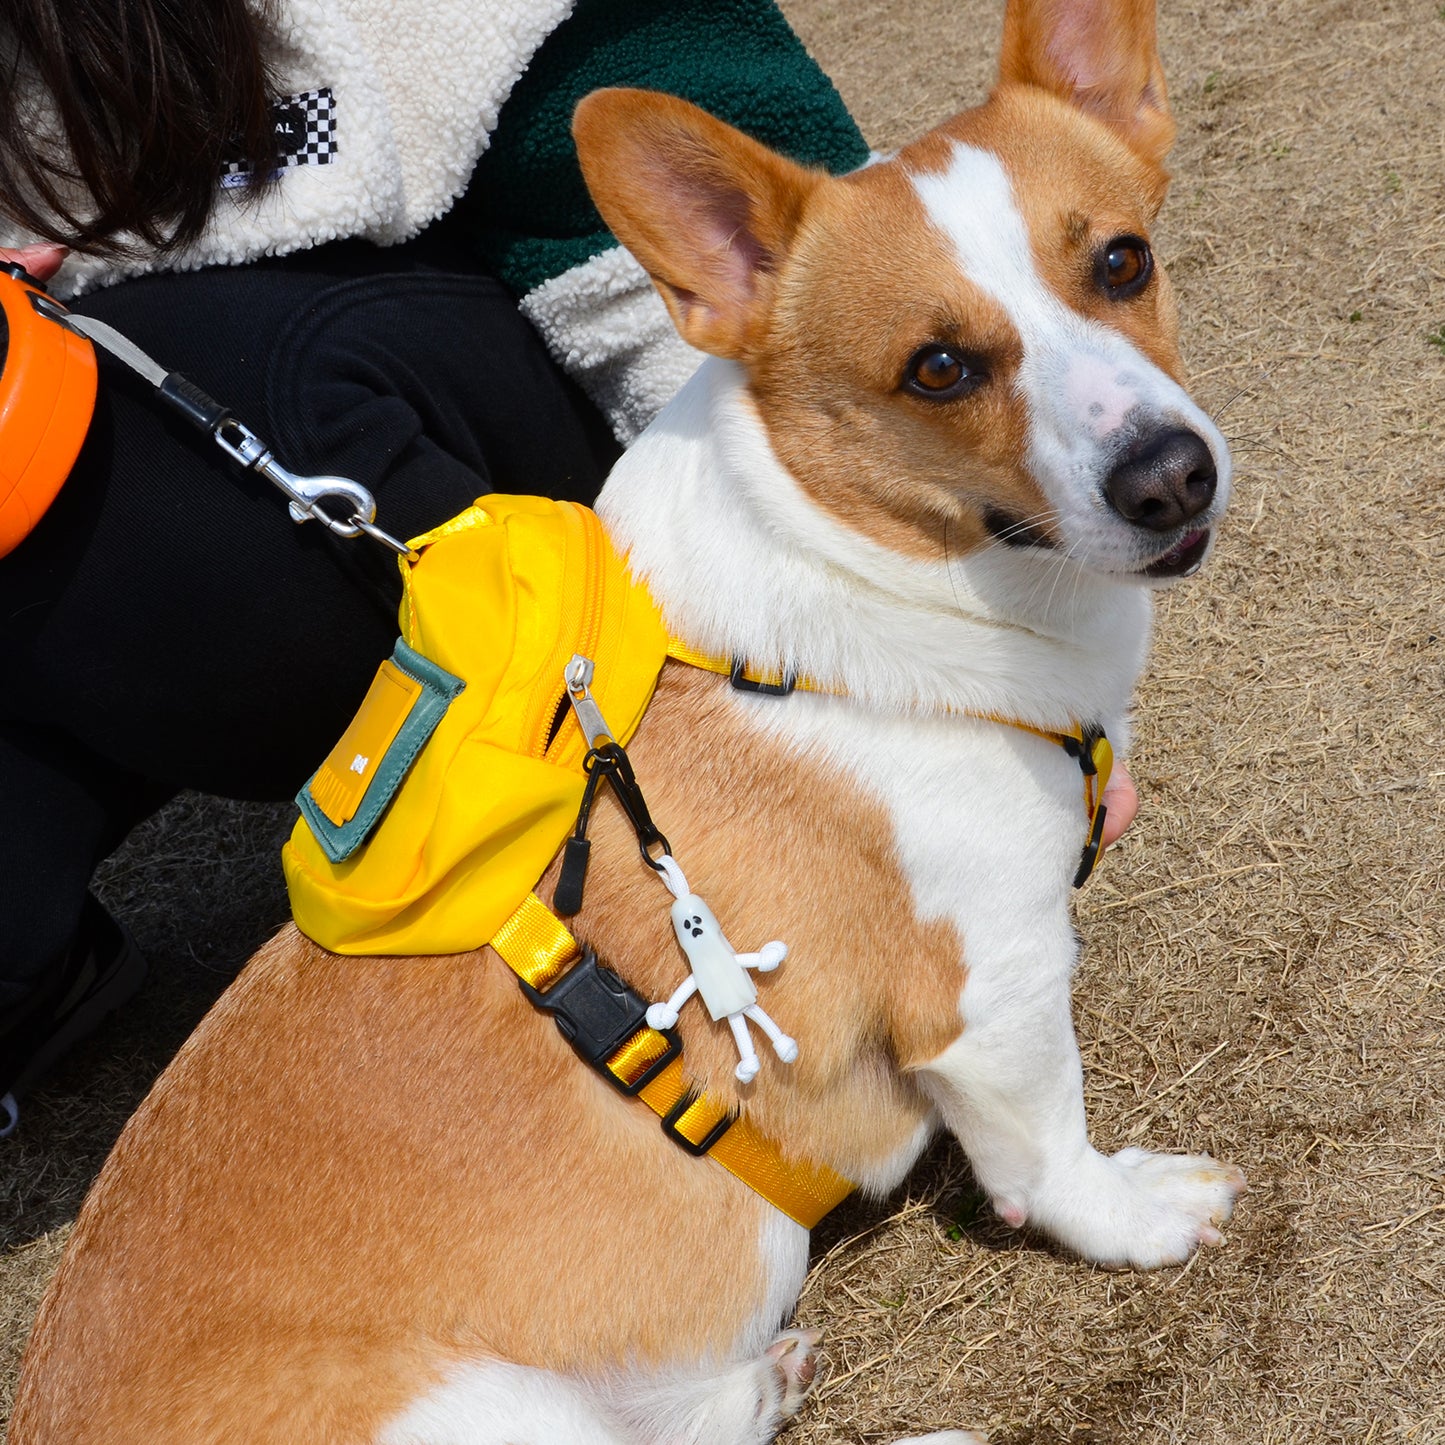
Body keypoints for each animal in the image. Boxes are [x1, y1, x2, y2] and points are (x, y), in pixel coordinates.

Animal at [11, 2, 1242, 1445]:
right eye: (937, 369)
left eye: (1122, 261)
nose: (1170, 477)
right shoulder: (992, 996)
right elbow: (1052, 1155)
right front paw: (1138, 1210)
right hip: (475, 1408)